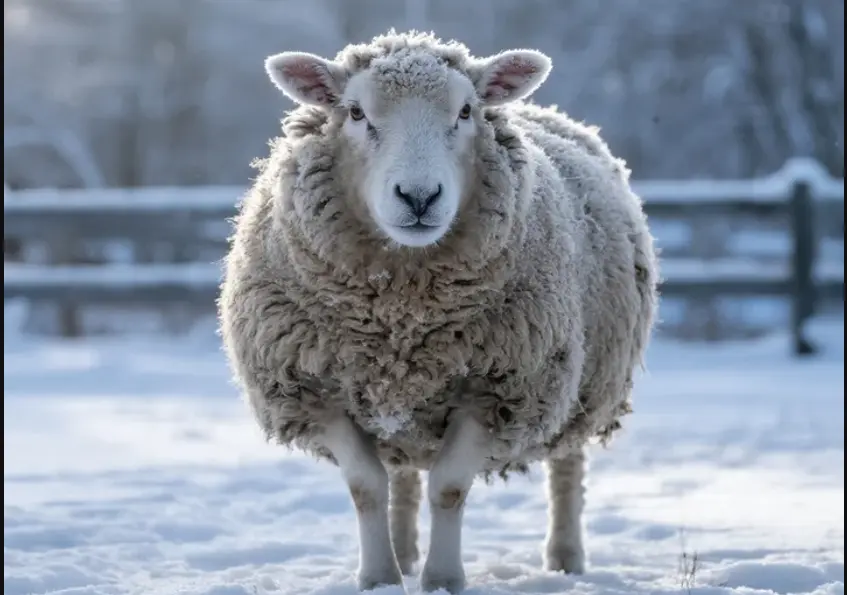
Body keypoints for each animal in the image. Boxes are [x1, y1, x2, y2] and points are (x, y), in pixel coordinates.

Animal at [218, 30, 659, 594]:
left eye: (466, 111)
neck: (401, 310)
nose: (419, 196)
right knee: (403, 473)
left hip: (578, 379)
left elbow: (449, 487)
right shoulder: (314, 388)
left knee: (566, 464)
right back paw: (404, 553)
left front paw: (444, 579)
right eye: (355, 112)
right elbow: (366, 486)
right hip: (399, 407)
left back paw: (564, 558)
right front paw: (379, 578)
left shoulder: (500, 385)